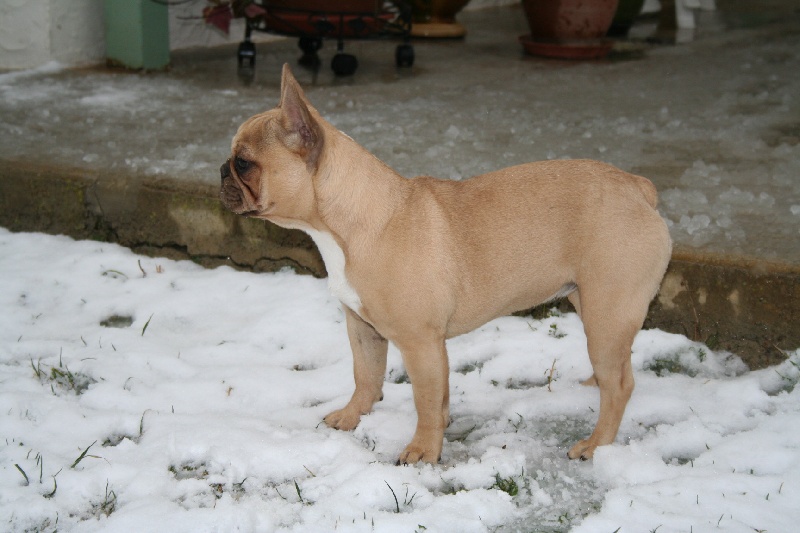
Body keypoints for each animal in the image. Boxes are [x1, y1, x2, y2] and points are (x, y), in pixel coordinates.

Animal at [220, 64, 676, 464]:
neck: (349, 224)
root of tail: (638, 188)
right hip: (591, 303)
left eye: (244, 162)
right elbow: (366, 376)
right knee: (613, 369)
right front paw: (353, 416)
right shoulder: (363, 328)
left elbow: (426, 400)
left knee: (621, 383)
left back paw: (596, 445)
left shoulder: (421, 343)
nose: (221, 169)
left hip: (607, 311)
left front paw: (423, 450)